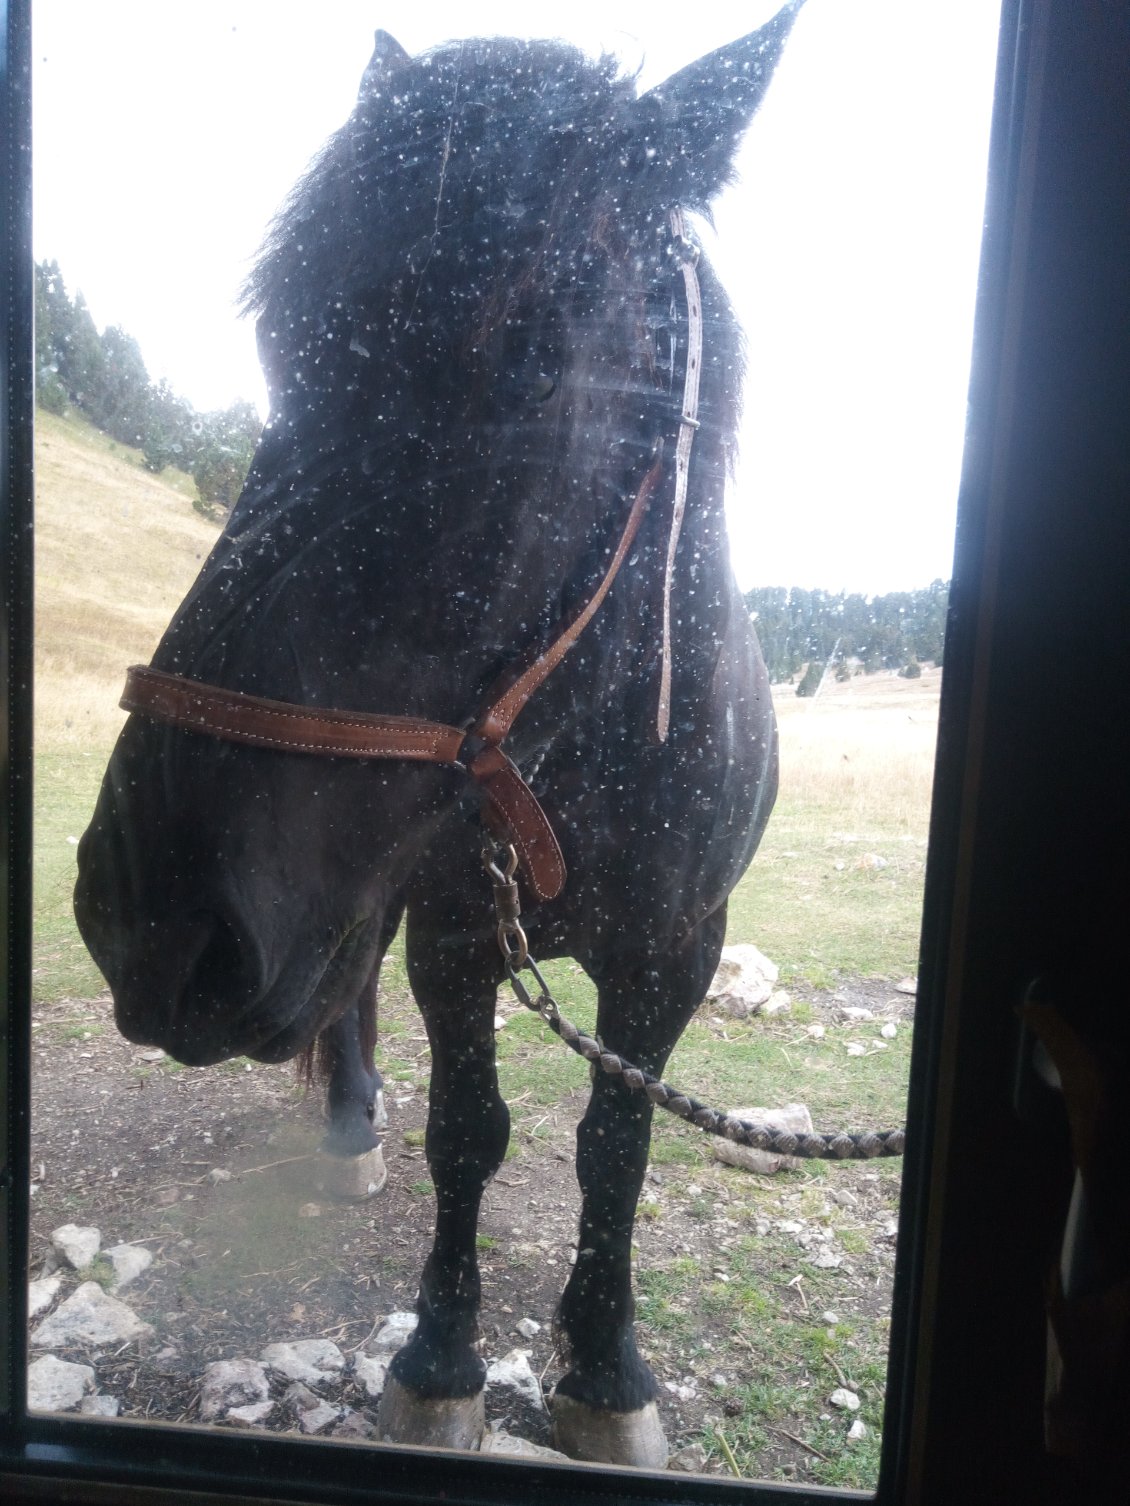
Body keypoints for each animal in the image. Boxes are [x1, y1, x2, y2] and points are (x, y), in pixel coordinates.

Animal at [75, 5, 807, 1463]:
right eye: (284, 349)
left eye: (529, 365)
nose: (148, 920)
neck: (592, 763)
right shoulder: (454, 933)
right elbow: (470, 1130)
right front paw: (442, 1358)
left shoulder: (675, 953)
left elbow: (613, 1147)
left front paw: (605, 1371)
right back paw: (351, 1125)